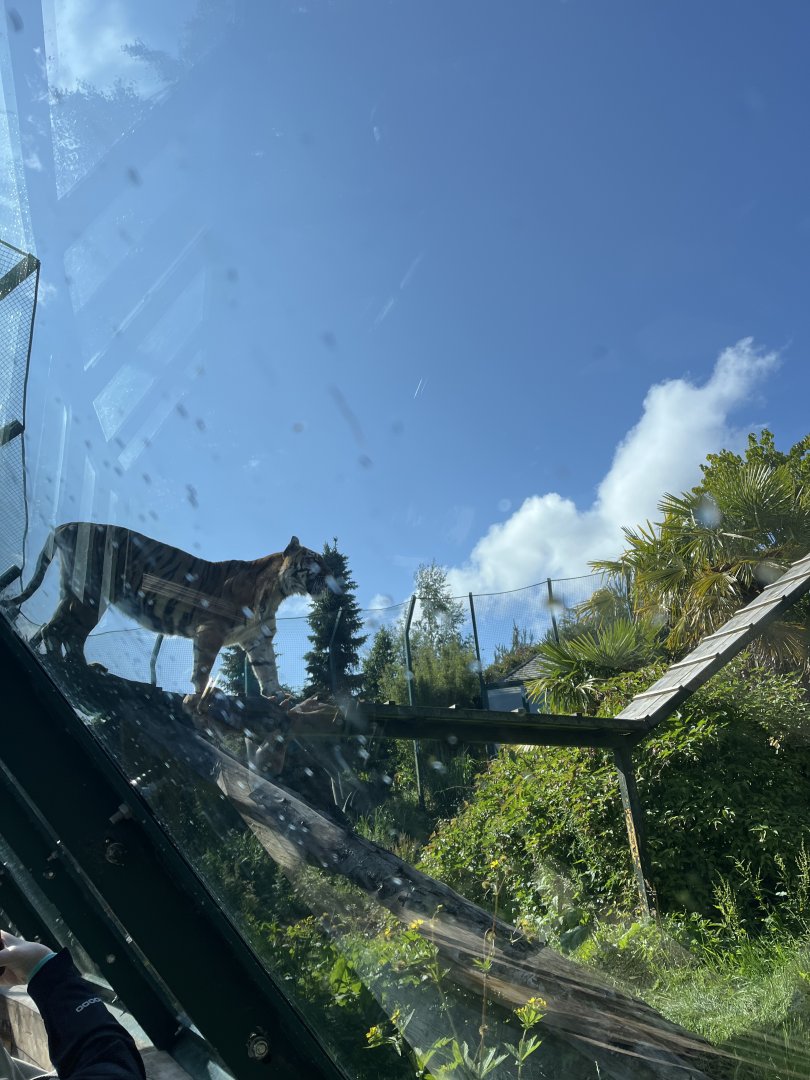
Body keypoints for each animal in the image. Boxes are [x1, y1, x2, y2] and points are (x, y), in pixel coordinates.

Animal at [2, 522, 333, 713]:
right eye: (315, 561)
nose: (333, 576)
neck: (278, 591)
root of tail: (69, 524)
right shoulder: (210, 630)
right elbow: (203, 669)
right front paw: (195, 699)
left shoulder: (257, 638)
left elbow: (268, 670)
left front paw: (279, 697)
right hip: (93, 596)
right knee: (67, 632)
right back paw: (81, 667)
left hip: (74, 591)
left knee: (54, 627)